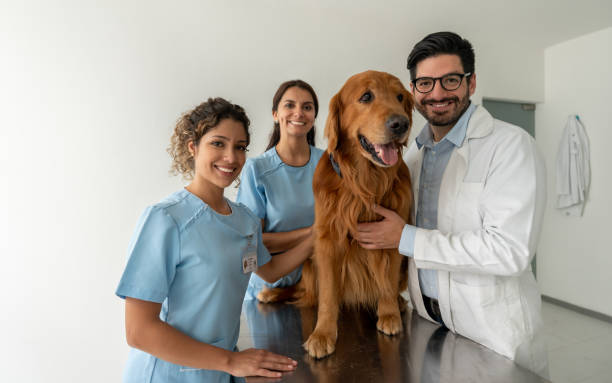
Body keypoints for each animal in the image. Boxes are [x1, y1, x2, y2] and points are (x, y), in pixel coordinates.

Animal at [256, 71, 414, 360]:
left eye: (401, 97)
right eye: (366, 96)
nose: (401, 124)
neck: (364, 184)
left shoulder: (392, 235)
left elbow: (386, 279)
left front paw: (389, 314)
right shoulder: (327, 241)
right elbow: (328, 295)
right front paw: (322, 334)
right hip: (309, 261)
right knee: (306, 291)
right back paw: (273, 294)